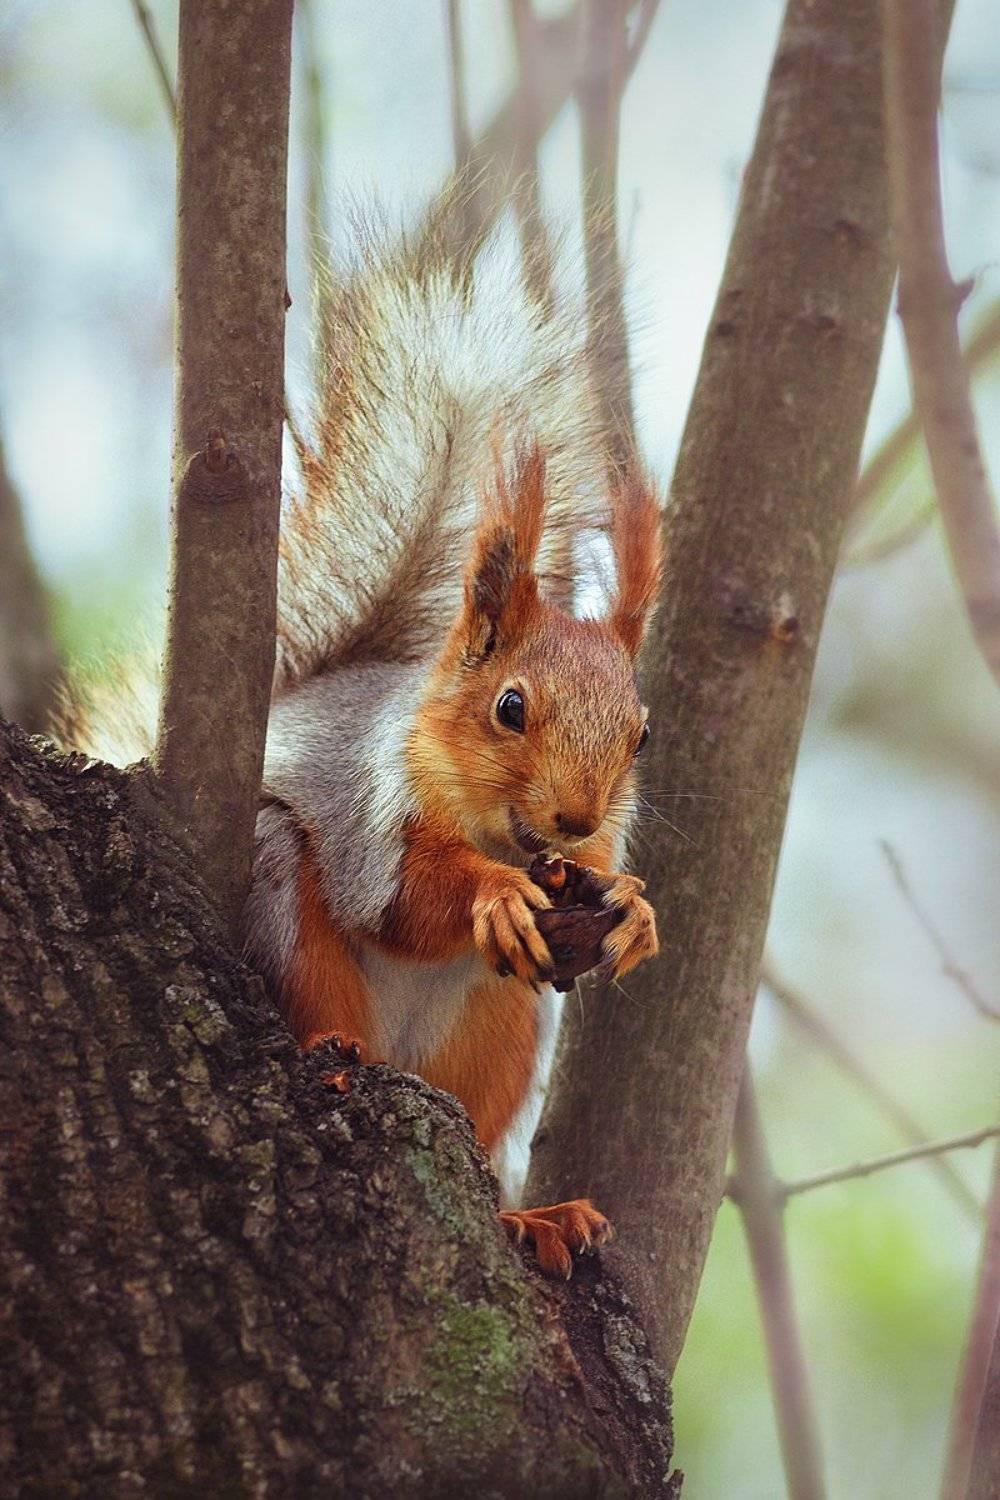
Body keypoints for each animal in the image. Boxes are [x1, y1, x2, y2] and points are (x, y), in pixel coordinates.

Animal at [69, 223, 662, 1277]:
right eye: (511, 706)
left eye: (643, 732)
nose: (576, 816)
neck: (499, 828)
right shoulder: (368, 811)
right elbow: (401, 899)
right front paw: (490, 893)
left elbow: (606, 885)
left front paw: (633, 909)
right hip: (292, 922)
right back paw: (334, 1061)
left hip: (502, 1029)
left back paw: (526, 1217)